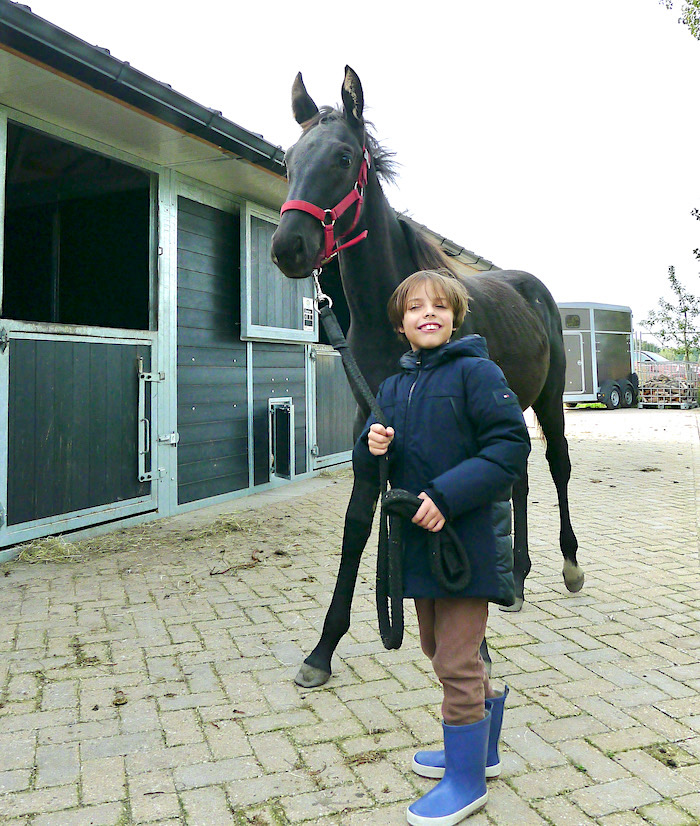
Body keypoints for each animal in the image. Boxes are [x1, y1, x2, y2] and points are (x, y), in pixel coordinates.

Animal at [271, 66, 584, 688]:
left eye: (344, 157)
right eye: (290, 159)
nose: (288, 246)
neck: (391, 318)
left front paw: (476, 646)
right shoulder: (372, 424)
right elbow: (357, 525)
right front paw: (322, 649)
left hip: (550, 397)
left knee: (557, 466)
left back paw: (568, 566)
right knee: (516, 479)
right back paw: (515, 579)